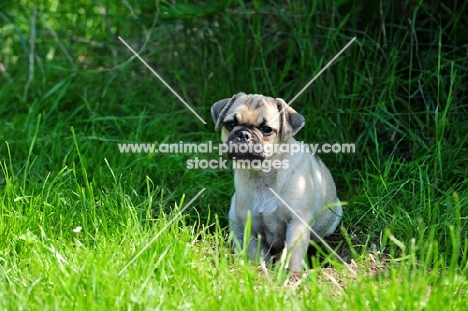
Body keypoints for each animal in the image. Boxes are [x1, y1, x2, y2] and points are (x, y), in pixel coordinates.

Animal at [212, 92, 344, 270]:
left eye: (267, 130)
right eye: (230, 124)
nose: (244, 134)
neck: (262, 175)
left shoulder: (297, 223)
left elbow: (294, 255)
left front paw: (292, 274)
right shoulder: (251, 228)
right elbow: (256, 254)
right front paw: (260, 271)